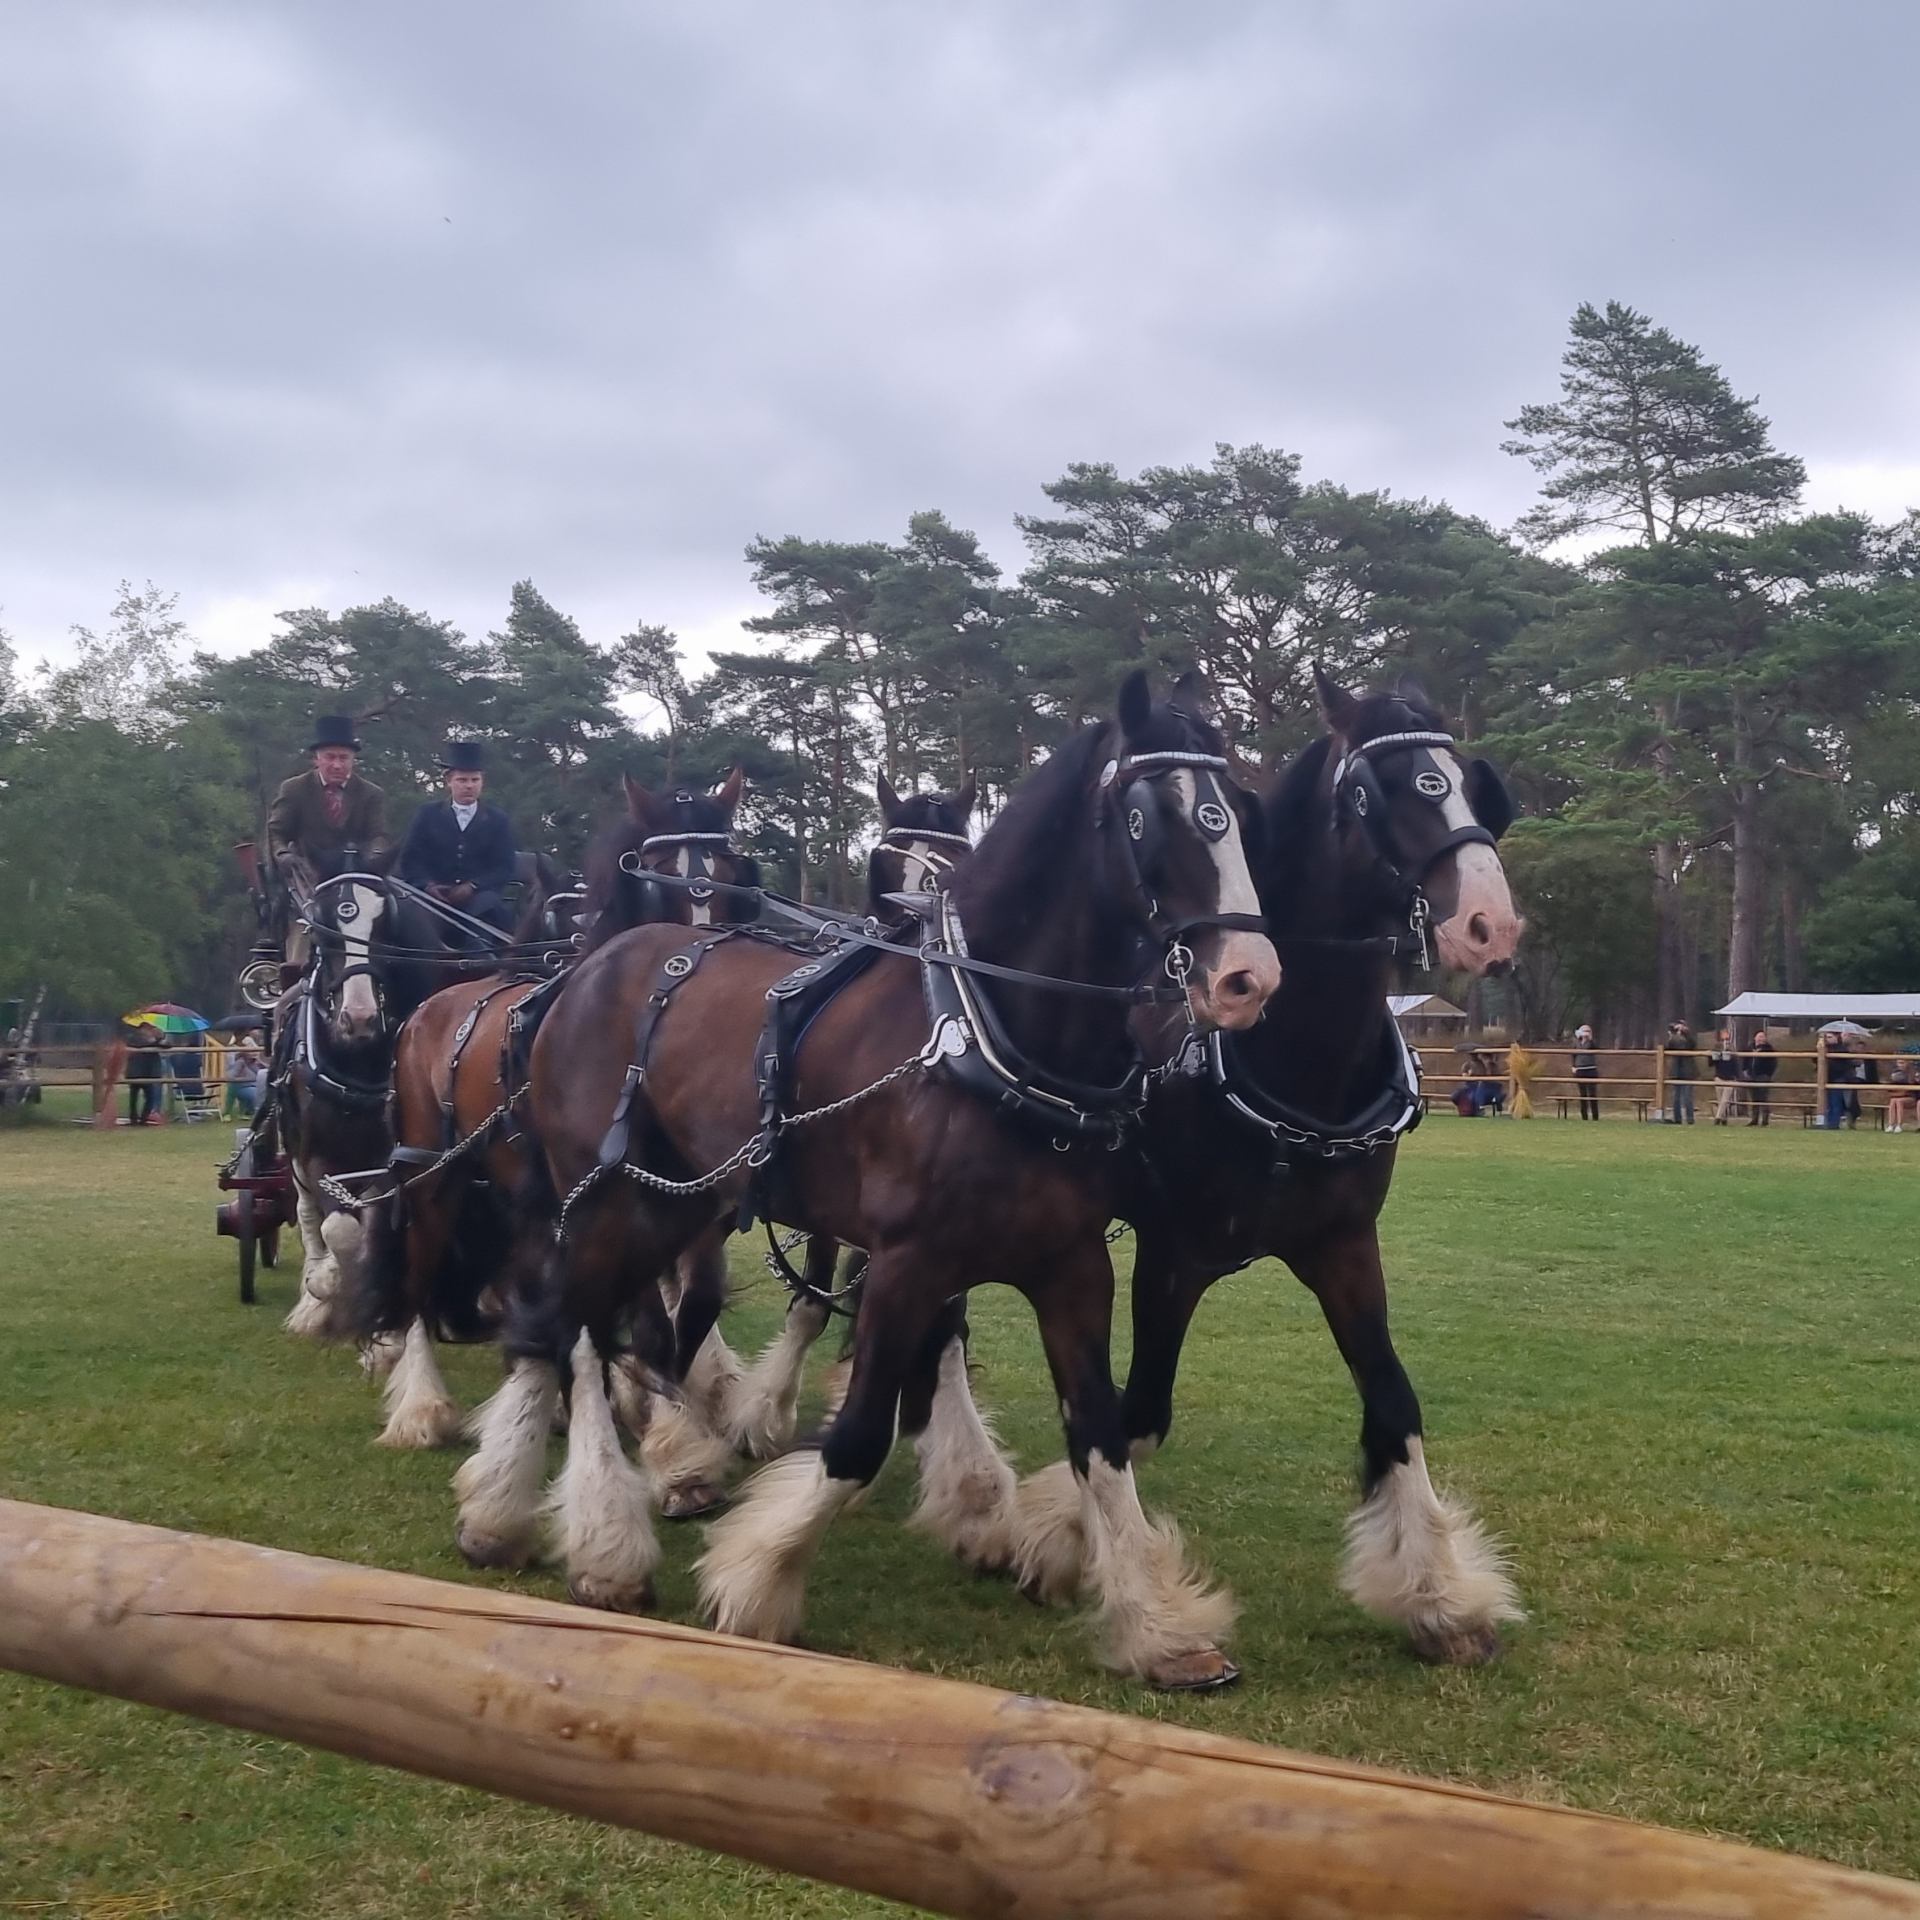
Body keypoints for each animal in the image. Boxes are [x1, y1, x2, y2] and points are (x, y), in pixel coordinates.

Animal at [346, 771, 768, 1454]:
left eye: (733, 878)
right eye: (657, 877)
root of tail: (424, 1012)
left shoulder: (689, 1202)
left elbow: (694, 1305)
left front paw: (653, 1408)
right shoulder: (600, 1199)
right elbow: (644, 1322)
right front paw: (666, 1440)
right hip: (432, 1174)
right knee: (417, 1278)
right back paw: (422, 1408)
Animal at [455, 673, 1280, 1689]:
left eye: (1236, 811)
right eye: (1147, 814)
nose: (1248, 978)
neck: (987, 1031)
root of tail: (596, 967)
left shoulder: (1071, 1264)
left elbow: (1099, 1431)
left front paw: (1157, 1626)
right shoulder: (906, 1261)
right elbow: (854, 1436)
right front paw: (758, 1578)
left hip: (673, 1204)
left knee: (583, 1325)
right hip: (606, 1198)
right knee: (572, 1329)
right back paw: (580, 1531)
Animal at [990, 669, 1527, 1669]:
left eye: (1471, 787)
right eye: (1380, 791)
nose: (1490, 923)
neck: (1290, 1056)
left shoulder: (1345, 1246)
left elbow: (1394, 1400)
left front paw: (1439, 1598)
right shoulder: (1175, 1255)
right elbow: (1136, 1413)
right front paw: (1057, 1542)